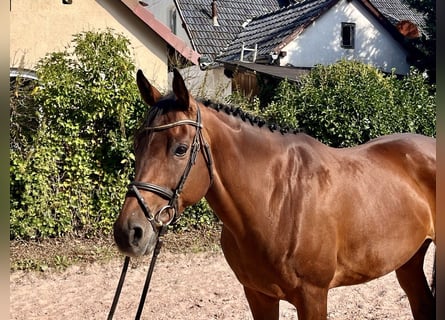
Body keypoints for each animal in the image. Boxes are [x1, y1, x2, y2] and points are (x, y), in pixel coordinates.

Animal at [112, 69, 436, 318]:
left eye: (180, 149)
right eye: (137, 143)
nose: (129, 232)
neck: (276, 202)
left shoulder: (313, 296)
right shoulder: (258, 294)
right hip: (409, 262)